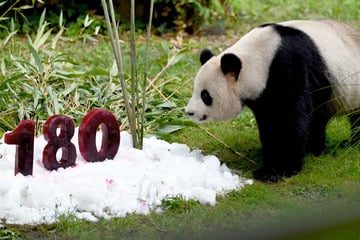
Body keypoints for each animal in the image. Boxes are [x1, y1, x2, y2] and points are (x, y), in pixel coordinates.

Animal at [186, 19, 360, 182]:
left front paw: (280, 170)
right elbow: (269, 124)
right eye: (195, 90)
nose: (189, 112)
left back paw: (350, 144)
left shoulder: (291, 67)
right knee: (319, 119)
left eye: (205, 95)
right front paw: (270, 163)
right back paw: (316, 149)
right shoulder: (263, 95)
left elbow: (293, 120)